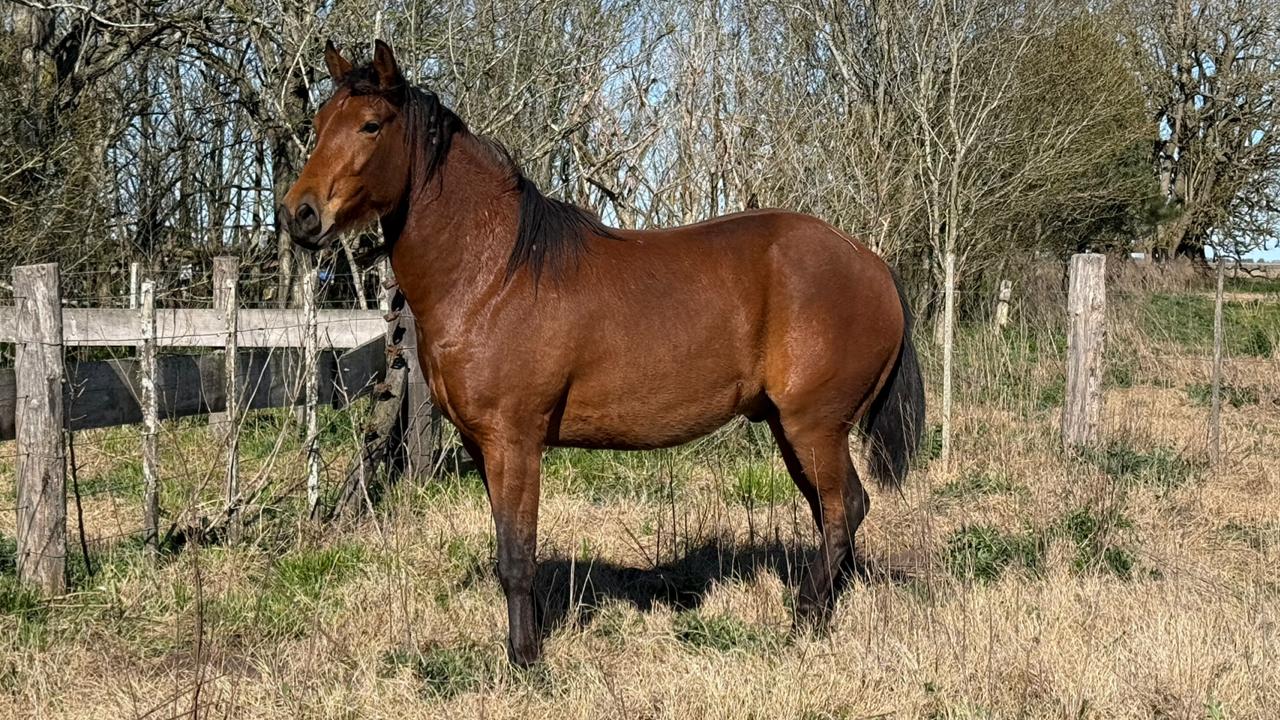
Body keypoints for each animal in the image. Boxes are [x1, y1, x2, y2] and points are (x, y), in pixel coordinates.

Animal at [279, 40, 925, 666]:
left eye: (370, 125)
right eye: (319, 121)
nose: (297, 214)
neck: (493, 274)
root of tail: (871, 263)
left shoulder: (515, 442)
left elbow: (517, 557)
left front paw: (525, 660)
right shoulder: (481, 444)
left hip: (814, 426)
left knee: (845, 511)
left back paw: (805, 620)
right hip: (793, 429)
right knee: (832, 514)